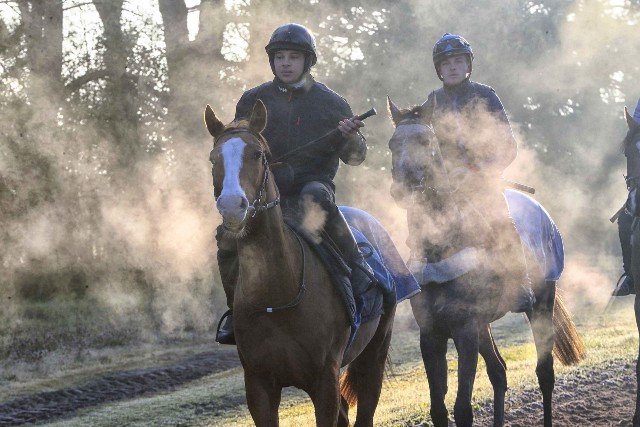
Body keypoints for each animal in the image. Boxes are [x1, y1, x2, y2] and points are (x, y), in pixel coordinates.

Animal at [204, 100, 397, 426]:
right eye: (213, 157)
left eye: (257, 154)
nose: (231, 206)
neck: (277, 294)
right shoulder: (259, 386)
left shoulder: (324, 380)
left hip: (376, 349)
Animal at [386, 97, 585, 427]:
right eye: (392, 144)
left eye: (425, 140)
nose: (404, 188)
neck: (443, 248)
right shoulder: (432, 334)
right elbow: (438, 409)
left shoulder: (465, 330)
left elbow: (462, 409)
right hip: (485, 325)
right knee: (499, 372)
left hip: (541, 304)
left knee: (545, 374)